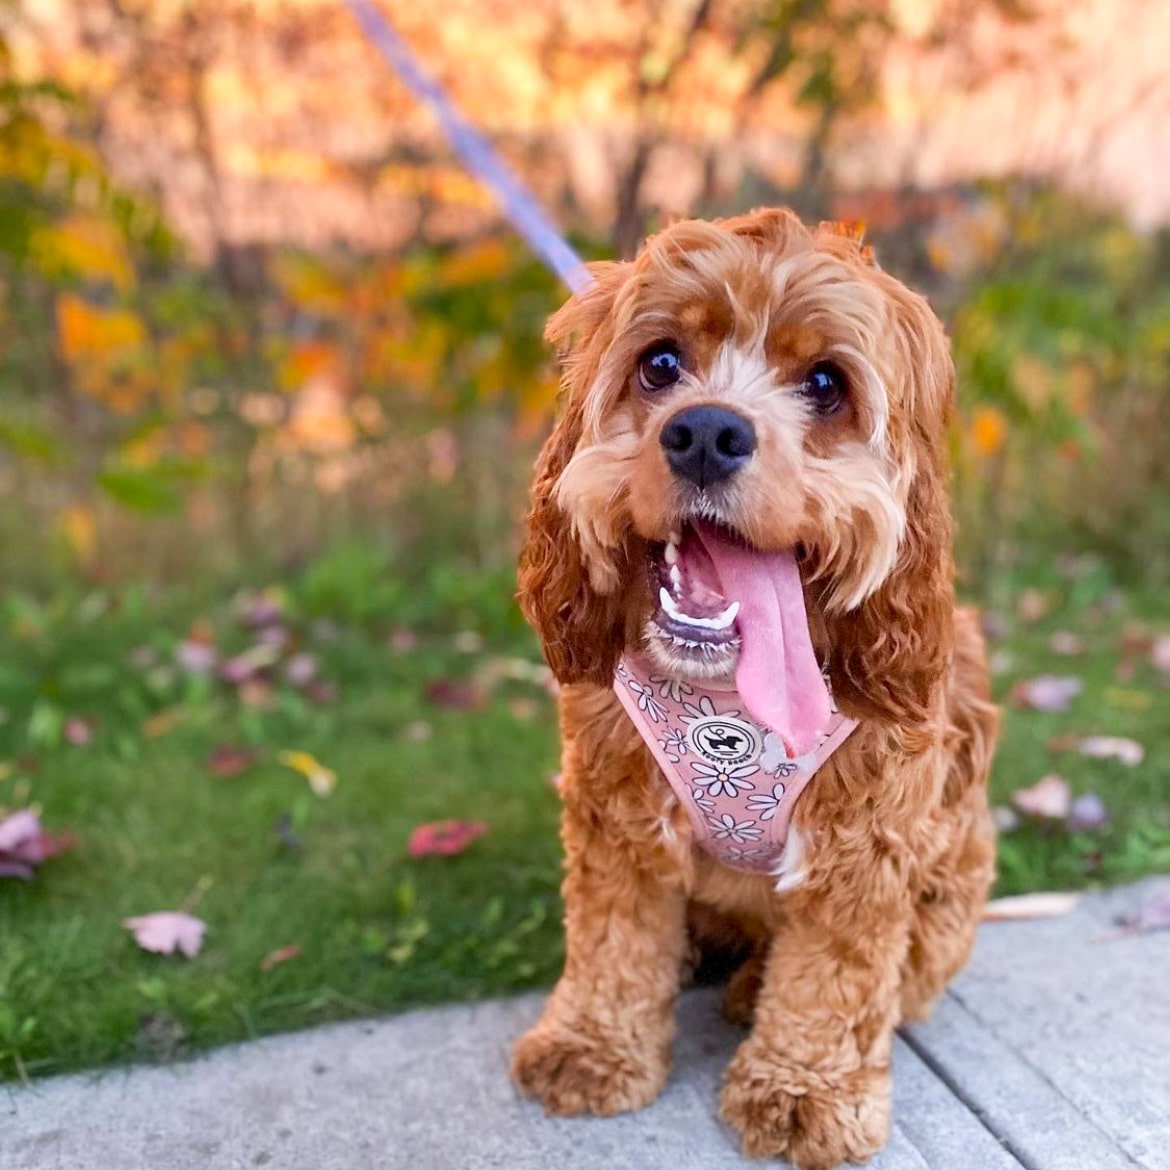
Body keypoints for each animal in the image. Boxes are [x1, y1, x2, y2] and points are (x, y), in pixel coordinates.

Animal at [512, 205, 996, 1165]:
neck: (729, 706)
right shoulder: (615, 813)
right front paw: (591, 1046)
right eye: (661, 363)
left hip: (956, 879)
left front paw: (804, 1091)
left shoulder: (867, 849)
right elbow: (613, 940)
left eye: (826, 382)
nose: (704, 432)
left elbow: (835, 984)